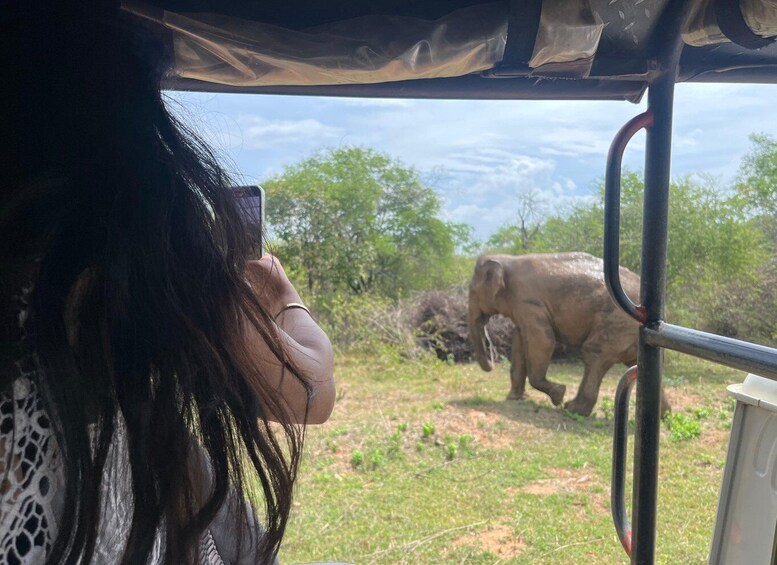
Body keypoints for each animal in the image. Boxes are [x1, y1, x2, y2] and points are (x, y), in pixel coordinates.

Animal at [464, 253, 668, 416]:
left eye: (472, 292)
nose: (491, 365)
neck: (508, 260)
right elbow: (520, 343)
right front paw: (513, 399)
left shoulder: (529, 302)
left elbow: (543, 341)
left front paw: (558, 395)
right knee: (636, 364)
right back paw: (664, 416)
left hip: (617, 321)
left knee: (594, 353)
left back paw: (573, 409)